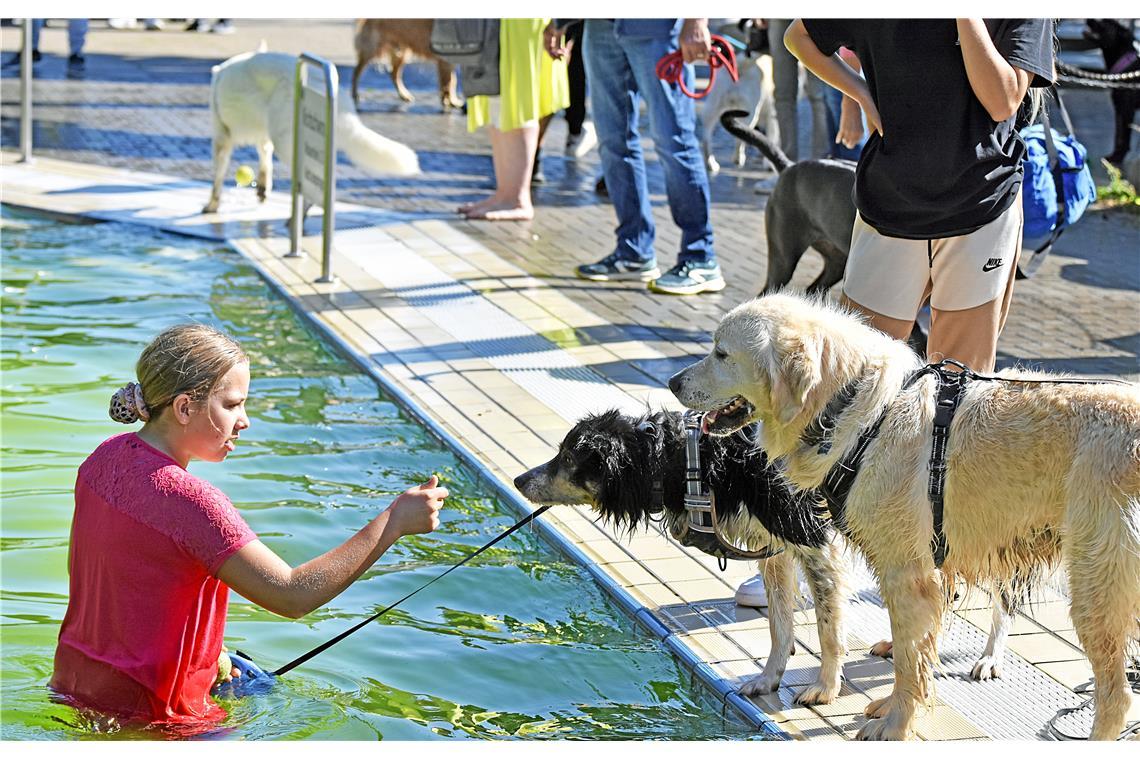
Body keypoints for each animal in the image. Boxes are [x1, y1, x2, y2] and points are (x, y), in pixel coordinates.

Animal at [202, 48, 421, 213]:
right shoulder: (262, 136)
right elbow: (265, 159)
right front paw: (263, 188)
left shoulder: (222, 138)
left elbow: (218, 177)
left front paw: (212, 204)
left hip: (286, 142)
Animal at [513, 410, 852, 706]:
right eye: (560, 453)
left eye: (568, 459)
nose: (519, 480)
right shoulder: (774, 544)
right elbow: (778, 622)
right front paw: (768, 679)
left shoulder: (813, 539)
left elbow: (828, 629)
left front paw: (825, 688)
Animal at [665, 293, 1140, 742]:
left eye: (721, 353)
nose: (671, 381)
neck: (852, 409)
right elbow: (915, 653)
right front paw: (889, 707)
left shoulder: (905, 573)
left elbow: (909, 663)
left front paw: (895, 724)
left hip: (1095, 584)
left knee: (1117, 695)